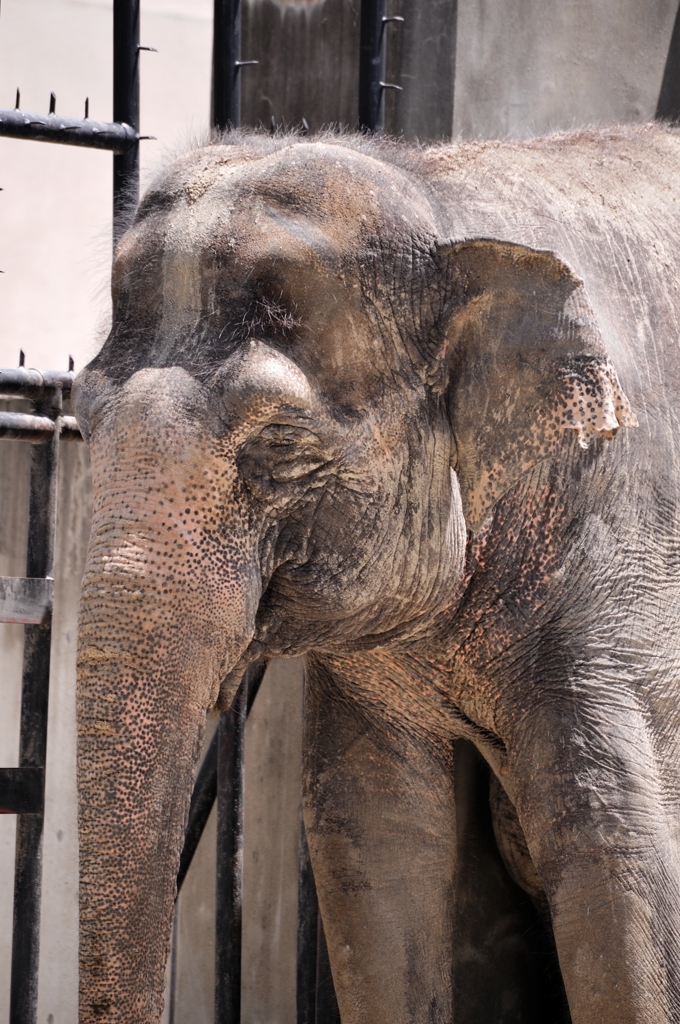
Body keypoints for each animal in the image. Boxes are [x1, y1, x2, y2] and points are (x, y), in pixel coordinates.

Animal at [73, 121, 680, 1024]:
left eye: (279, 444)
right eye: (81, 420)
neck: (441, 195)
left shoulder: (616, 566)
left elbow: (619, 848)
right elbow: (376, 833)